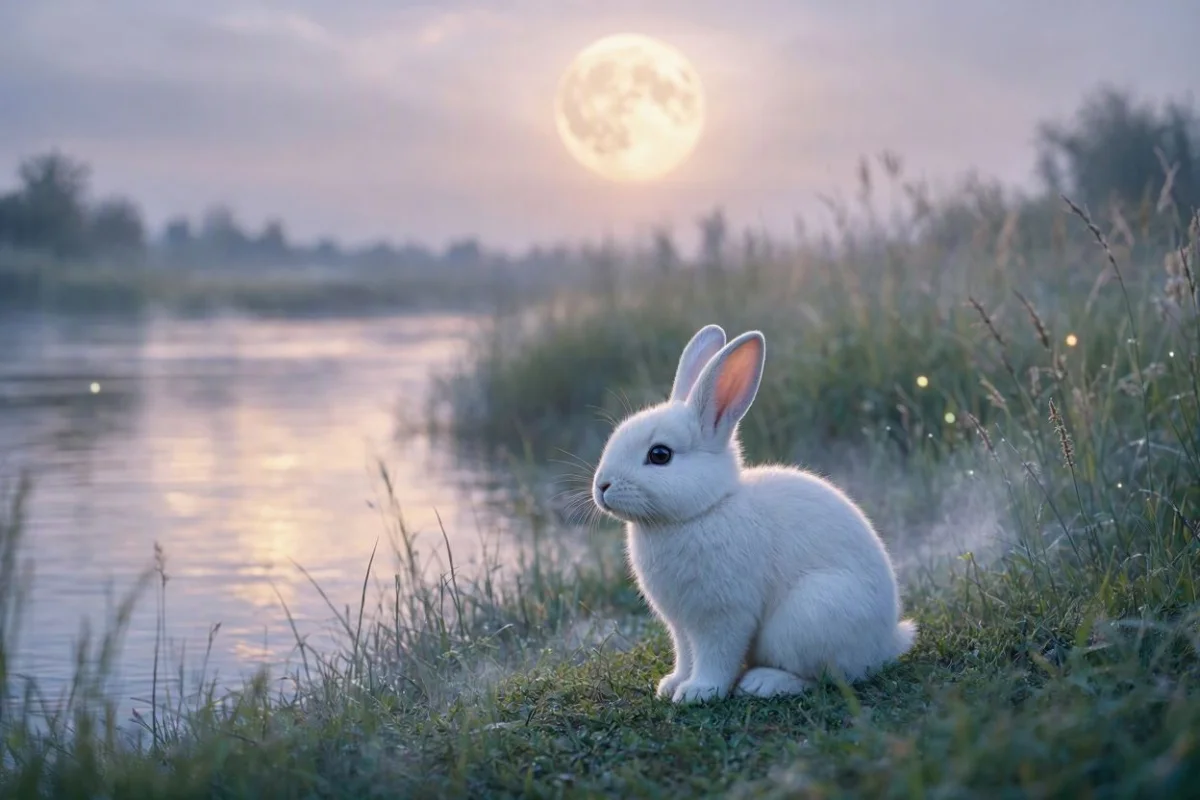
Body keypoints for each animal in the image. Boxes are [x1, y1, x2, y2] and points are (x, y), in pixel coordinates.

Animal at [591, 324, 917, 704]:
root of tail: (886, 643)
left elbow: (716, 656)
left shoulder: (723, 616)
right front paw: (672, 684)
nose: (602, 486)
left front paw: (699, 692)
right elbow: (686, 655)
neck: (704, 510)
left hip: (807, 619)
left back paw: (764, 683)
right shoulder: (680, 626)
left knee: (827, 676)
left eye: (660, 455)